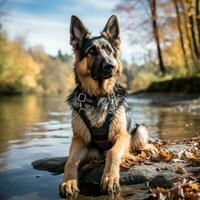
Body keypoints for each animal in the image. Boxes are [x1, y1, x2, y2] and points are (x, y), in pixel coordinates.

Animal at [59, 14, 156, 198]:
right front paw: (69, 181)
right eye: (92, 52)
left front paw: (110, 178)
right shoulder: (80, 140)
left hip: (140, 129)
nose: (110, 66)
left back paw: (146, 150)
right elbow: (71, 161)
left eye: (109, 51)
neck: (98, 97)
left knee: (138, 145)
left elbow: (113, 152)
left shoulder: (122, 135)